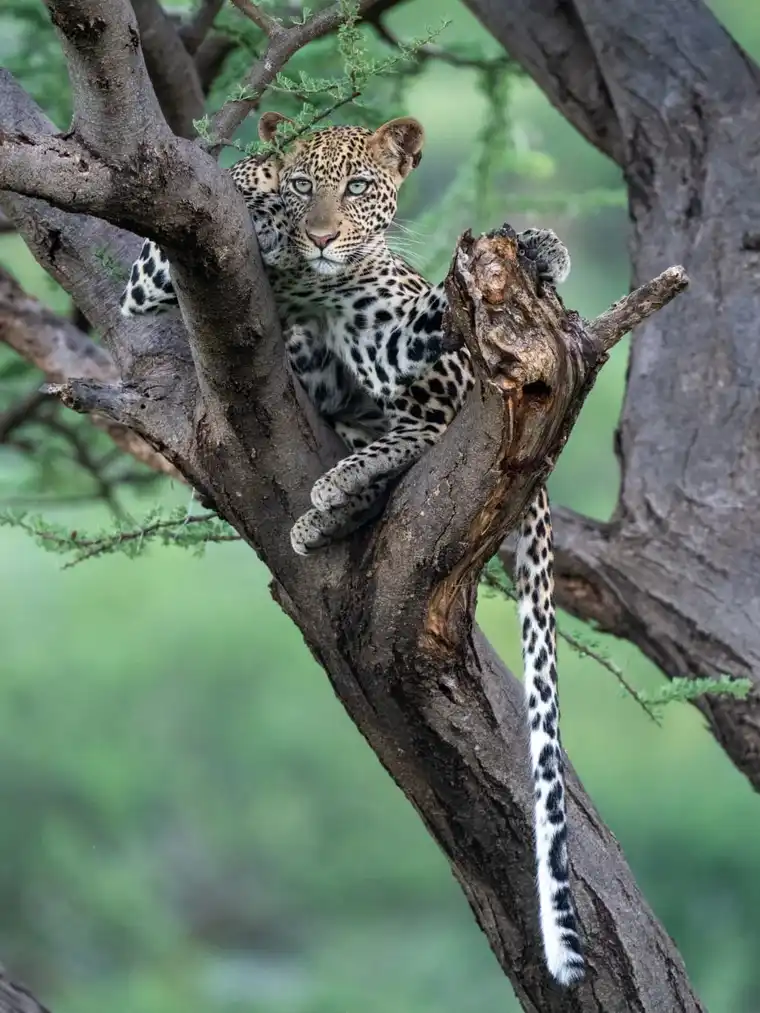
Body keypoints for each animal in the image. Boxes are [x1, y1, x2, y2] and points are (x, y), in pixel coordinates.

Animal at [119, 111, 585, 987]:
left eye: (362, 187)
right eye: (311, 186)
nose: (325, 235)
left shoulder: (396, 327)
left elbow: (434, 316)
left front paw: (538, 244)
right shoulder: (147, 281)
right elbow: (227, 198)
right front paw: (260, 188)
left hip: (428, 370)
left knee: (433, 423)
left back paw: (338, 489)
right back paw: (331, 505)